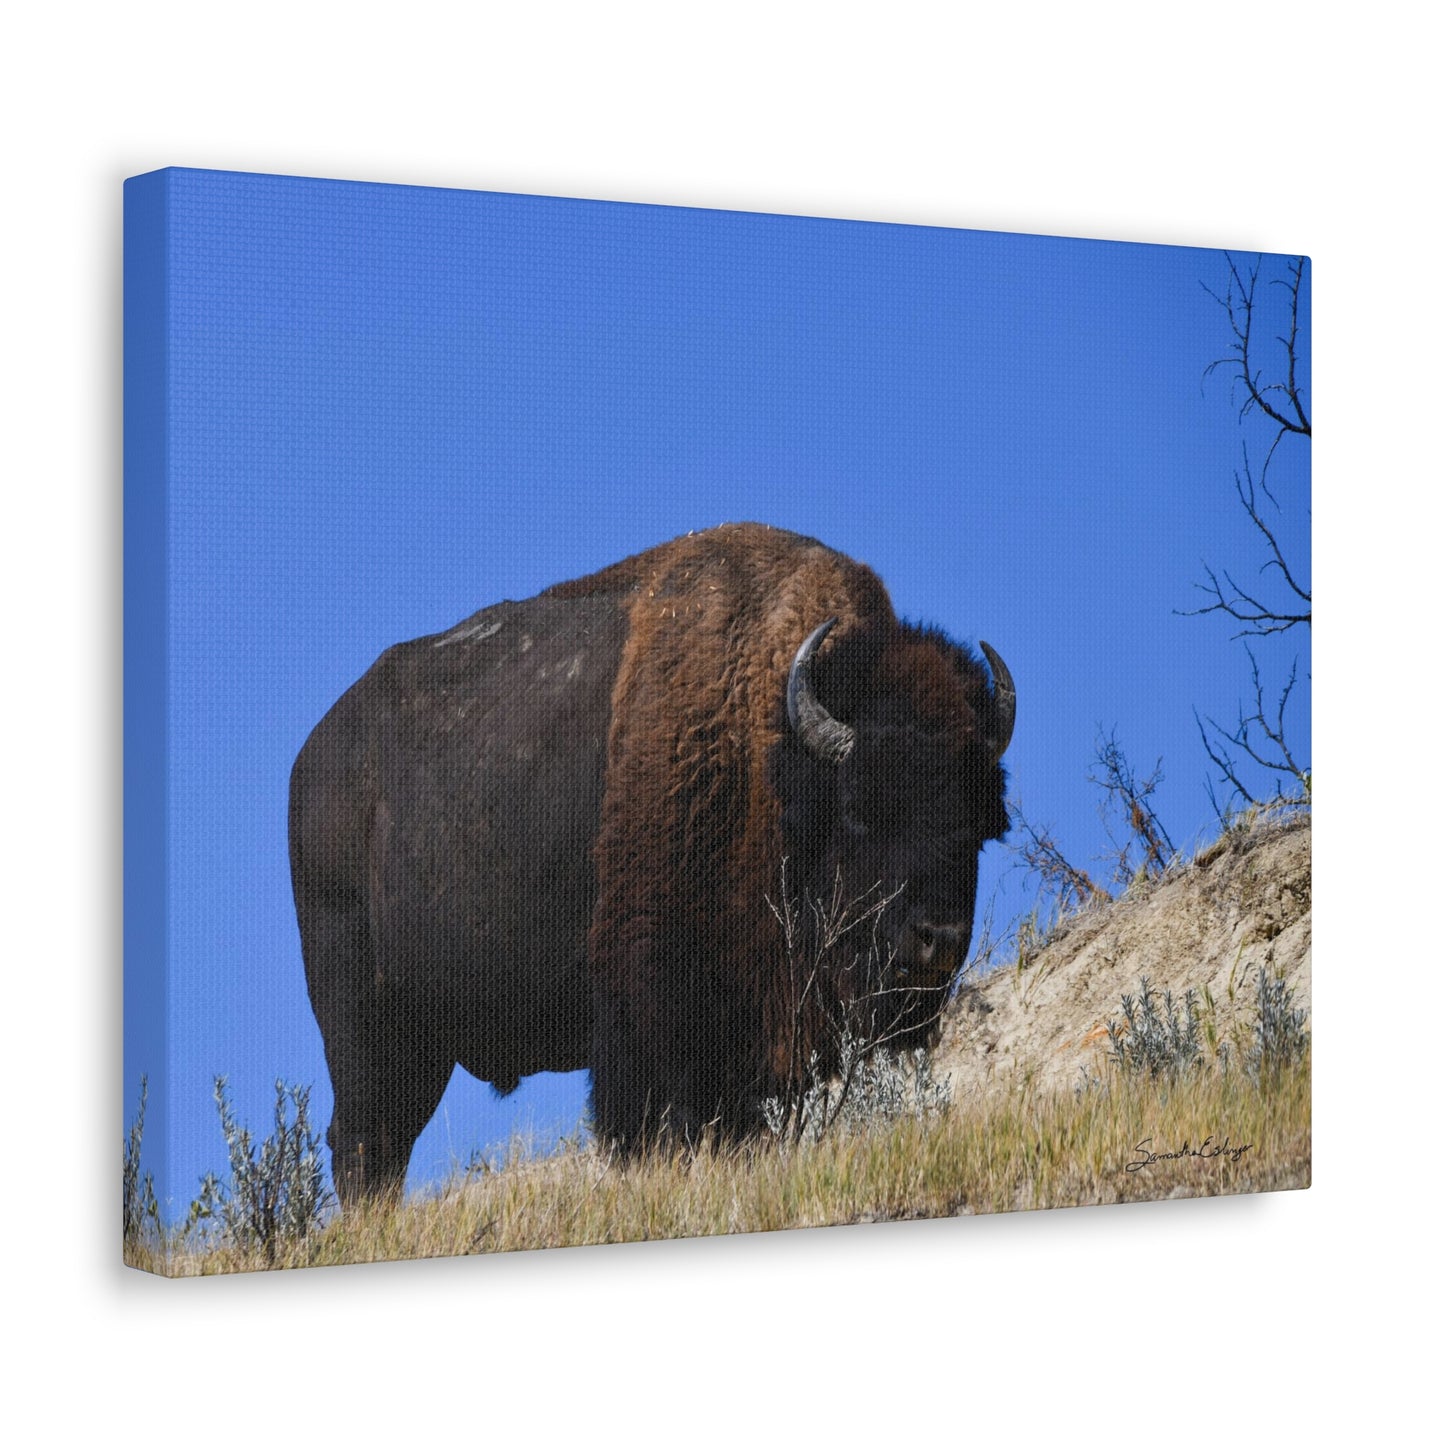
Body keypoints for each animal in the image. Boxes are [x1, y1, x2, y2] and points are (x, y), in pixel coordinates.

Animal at [290, 525, 1017, 1202]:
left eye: (980, 825)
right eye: (860, 809)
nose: (936, 941)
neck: (770, 757)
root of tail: (312, 757)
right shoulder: (648, 1008)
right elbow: (657, 1121)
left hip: (422, 1039)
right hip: (361, 1013)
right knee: (367, 1137)